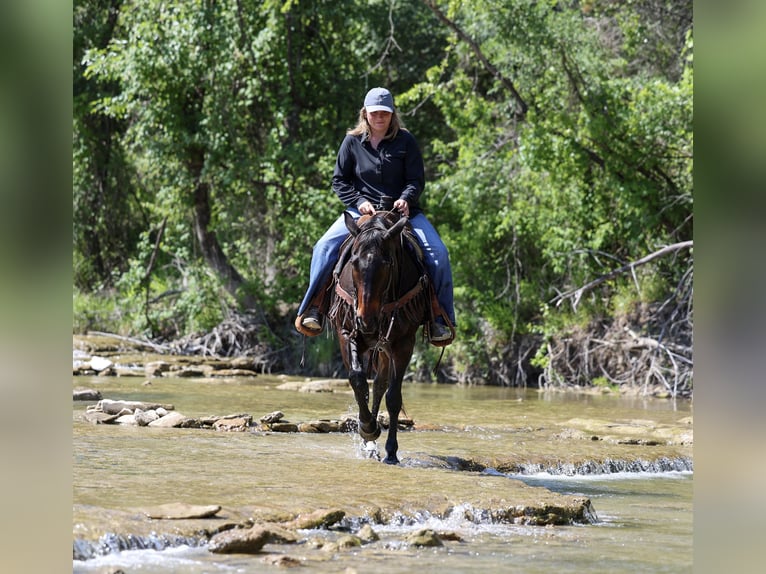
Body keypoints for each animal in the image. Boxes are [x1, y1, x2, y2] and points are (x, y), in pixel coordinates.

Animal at [328, 210, 432, 464]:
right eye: (354, 261)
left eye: (387, 263)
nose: (367, 320)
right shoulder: (347, 332)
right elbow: (357, 379)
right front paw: (367, 428)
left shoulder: (403, 343)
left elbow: (393, 397)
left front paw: (391, 451)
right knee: (371, 386)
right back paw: (369, 442)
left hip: (385, 348)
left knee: (380, 386)